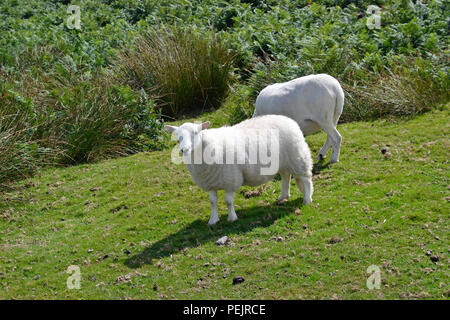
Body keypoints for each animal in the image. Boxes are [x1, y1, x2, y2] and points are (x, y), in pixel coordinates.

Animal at [164, 115, 312, 225]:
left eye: (195, 133)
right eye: (178, 136)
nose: (184, 150)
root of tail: (289, 120)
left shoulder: (231, 179)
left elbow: (228, 202)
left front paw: (232, 218)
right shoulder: (210, 182)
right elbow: (212, 202)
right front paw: (213, 220)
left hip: (297, 156)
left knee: (306, 179)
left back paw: (307, 200)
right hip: (283, 162)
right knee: (286, 176)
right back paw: (283, 196)